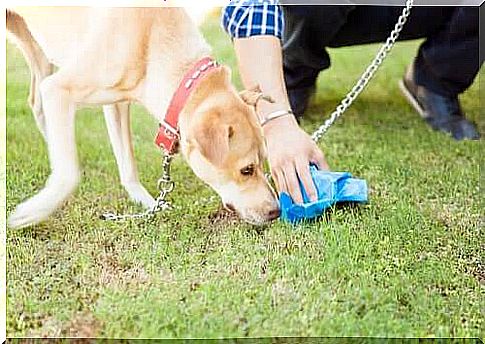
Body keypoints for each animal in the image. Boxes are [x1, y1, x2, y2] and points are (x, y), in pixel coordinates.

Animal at [6, 5, 280, 228]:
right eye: (247, 170)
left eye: (264, 161)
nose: (276, 212)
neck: (152, 37)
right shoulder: (59, 89)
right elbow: (69, 175)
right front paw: (35, 210)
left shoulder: (116, 102)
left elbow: (128, 162)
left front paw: (147, 204)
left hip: (34, 44)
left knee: (37, 102)